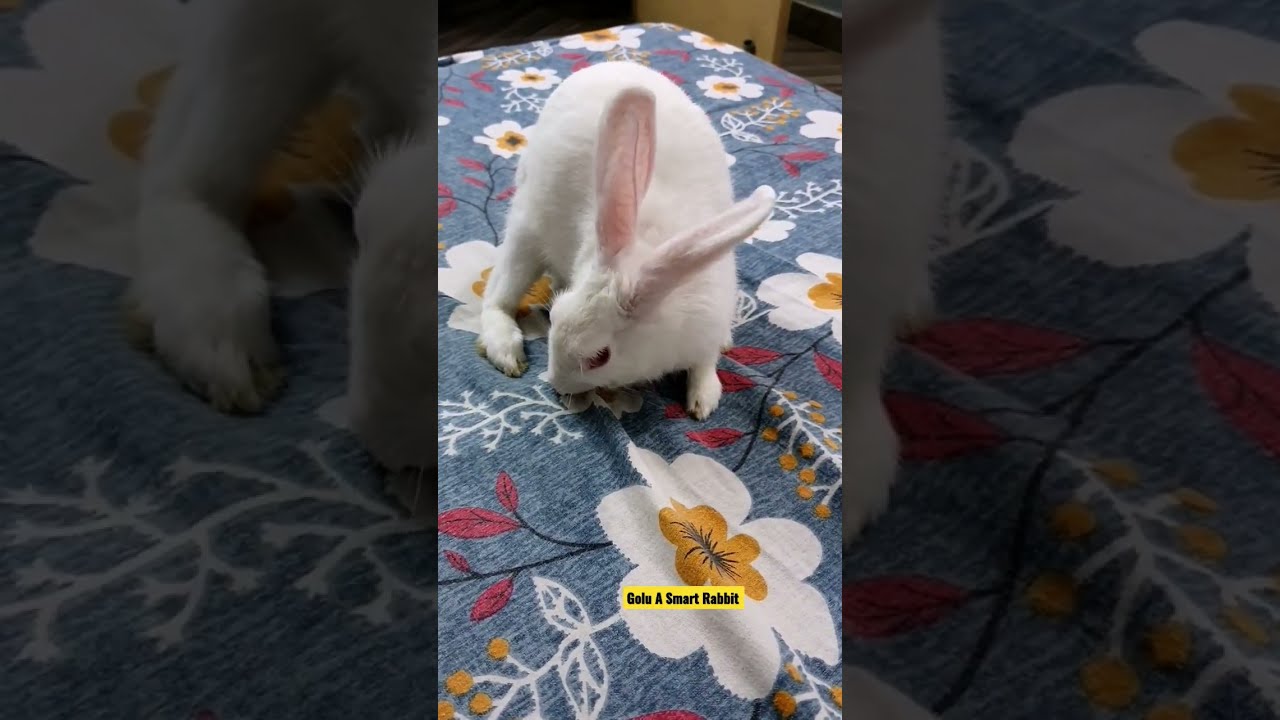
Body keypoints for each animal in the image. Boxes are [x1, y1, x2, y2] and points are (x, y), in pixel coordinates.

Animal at [476, 61, 777, 422]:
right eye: (553, 317)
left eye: (600, 357)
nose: (557, 385)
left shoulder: (709, 322)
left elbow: (705, 363)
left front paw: (703, 401)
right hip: (528, 228)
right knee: (497, 299)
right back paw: (506, 351)